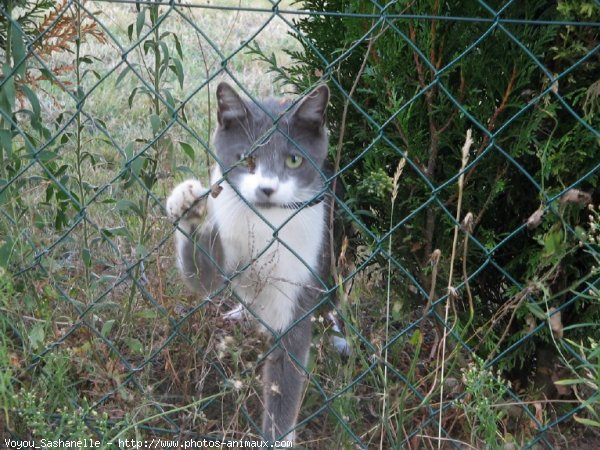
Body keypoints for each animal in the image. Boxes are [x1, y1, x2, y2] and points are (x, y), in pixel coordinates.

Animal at [166, 81, 330, 442]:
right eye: (247, 158)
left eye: (293, 160)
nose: (267, 188)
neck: (266, 223)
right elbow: (203, 278)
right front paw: (187, 205)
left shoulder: (296, 288)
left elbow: (285, 380)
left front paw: (279, 438)